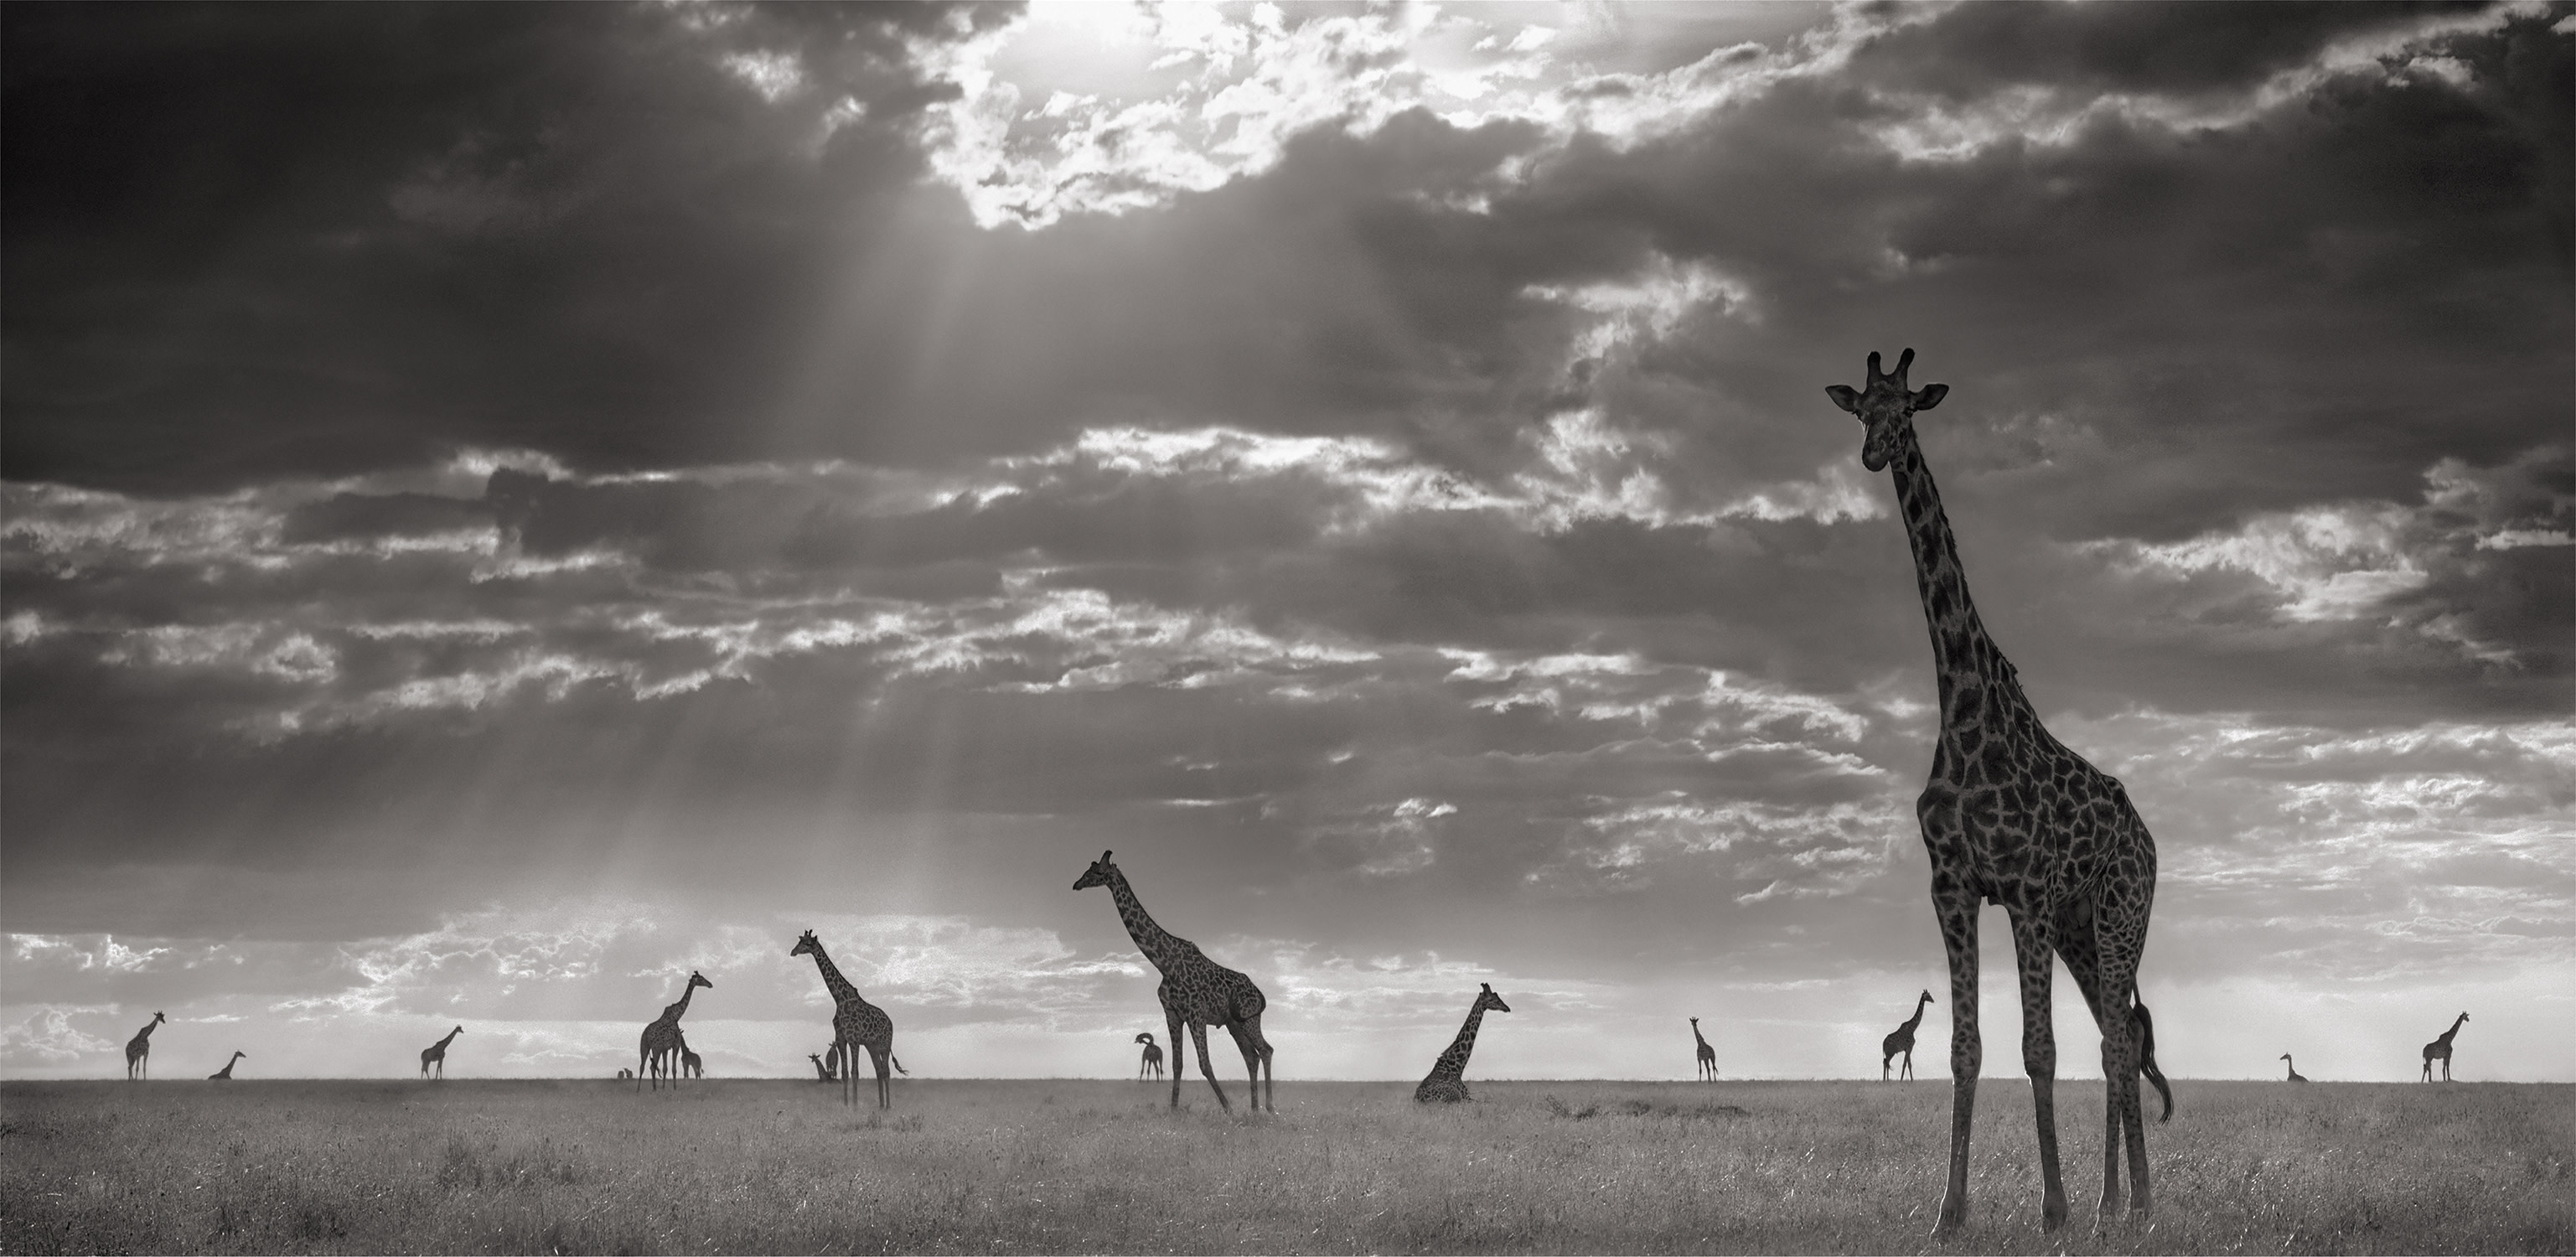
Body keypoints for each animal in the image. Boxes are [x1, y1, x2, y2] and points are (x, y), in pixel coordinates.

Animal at [635, 970, 710, 1092]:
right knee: (652, 1067)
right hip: (655, 1048)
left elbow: (665, 1068)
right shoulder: (675, 1045)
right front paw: (674, 1088)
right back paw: (654, 1089)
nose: (710, 984)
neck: (676, 1016)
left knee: (642, 1066)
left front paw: (664, 1088)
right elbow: (674, 1069)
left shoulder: (665, 1048)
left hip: (644, 1046)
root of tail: (646, 1034)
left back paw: (639, 1090)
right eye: (701, 978)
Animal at [788, 931, 907, 1108]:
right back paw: (880, 1106)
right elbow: (844, 1073)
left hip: (885, 1044)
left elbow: (854, 1072)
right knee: (879, 1071)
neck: (839, 998)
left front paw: (855, 1106)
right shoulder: (841, 1038)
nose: (793, 952)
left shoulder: (853, 1039)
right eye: (800, 941)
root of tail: (890, 1022)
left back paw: (887, 1106)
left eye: (808, 943)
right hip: (872, 1047)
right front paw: (846, 1105)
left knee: (886, 1071)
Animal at [1074, 851, 1274, 1113]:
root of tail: (1259, 993)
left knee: (1266, 1050)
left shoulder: (1195, 1013)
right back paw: (1253, 1109)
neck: (1164, 962)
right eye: (1086, 871)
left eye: (1096, 872)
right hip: (1234, 1023)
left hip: (1250, 1018)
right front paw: (1173, 1110)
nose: (1076, 884)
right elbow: (1176, 1064)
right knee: (1252, 1056)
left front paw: (1228, 1110)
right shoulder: (1172, 1013)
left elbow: (1204, 1064)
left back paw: (1269, 1107)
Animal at [1415, 984, 1512, 1103]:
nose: (1507, 1008)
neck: (1458, 1066)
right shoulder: (1465, 1097)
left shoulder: (1468, 1097)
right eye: (1492, 999)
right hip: (1455, 1096)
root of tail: (1418, 1100)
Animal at [1825, 349, 2172, 1235]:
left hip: (2121, 912)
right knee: (2117, 1036)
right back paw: (2113, 1204)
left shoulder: (2024, 890)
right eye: (1861, 411)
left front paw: (2051, 1208)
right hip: (2083, 927)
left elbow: (2036, 1049)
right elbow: (1966, 1049)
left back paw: (2135, 1205)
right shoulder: (1952, 887)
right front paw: (1949, 1212)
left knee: (2119, 1040)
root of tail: (2148, 838)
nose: (1873, 453)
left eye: (1907, 410)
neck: (1962, 704)